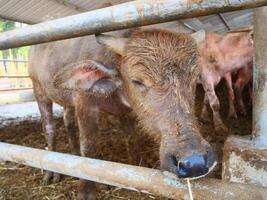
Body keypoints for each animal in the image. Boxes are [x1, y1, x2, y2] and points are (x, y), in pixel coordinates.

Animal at [29, 28, 218, 199]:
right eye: (137, 81)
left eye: (194, 78)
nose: (194, 162)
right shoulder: (85, 104)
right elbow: (89, 147)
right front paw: (86, 190)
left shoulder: (126, 112)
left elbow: (130, 139)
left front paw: (136, 165)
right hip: (39, 92)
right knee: (49, 129)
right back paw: (50, 173)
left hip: (66, 103)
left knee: (68, 122)